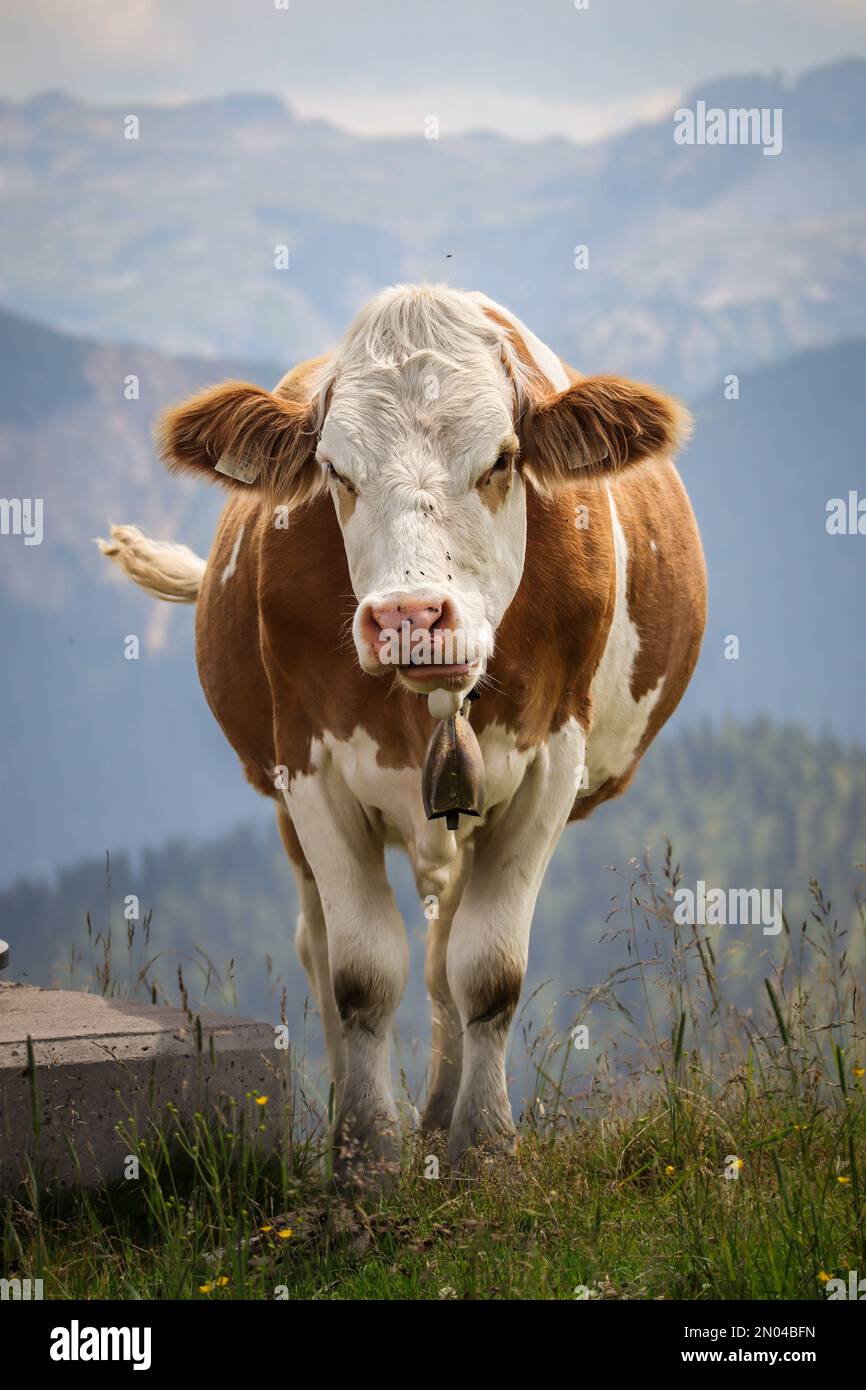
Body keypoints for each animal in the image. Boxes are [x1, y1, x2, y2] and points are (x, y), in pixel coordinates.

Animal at [100, 284, 706, 1186]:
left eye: (501, 460)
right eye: (336, 471)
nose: (411, 617)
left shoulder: (549, 766)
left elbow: (488, 972)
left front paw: (482, 1147)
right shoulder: (308, 769)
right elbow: (361, 974)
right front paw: (366, 1155)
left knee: (445, 962)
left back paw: (439, 1118)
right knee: (324, 953)